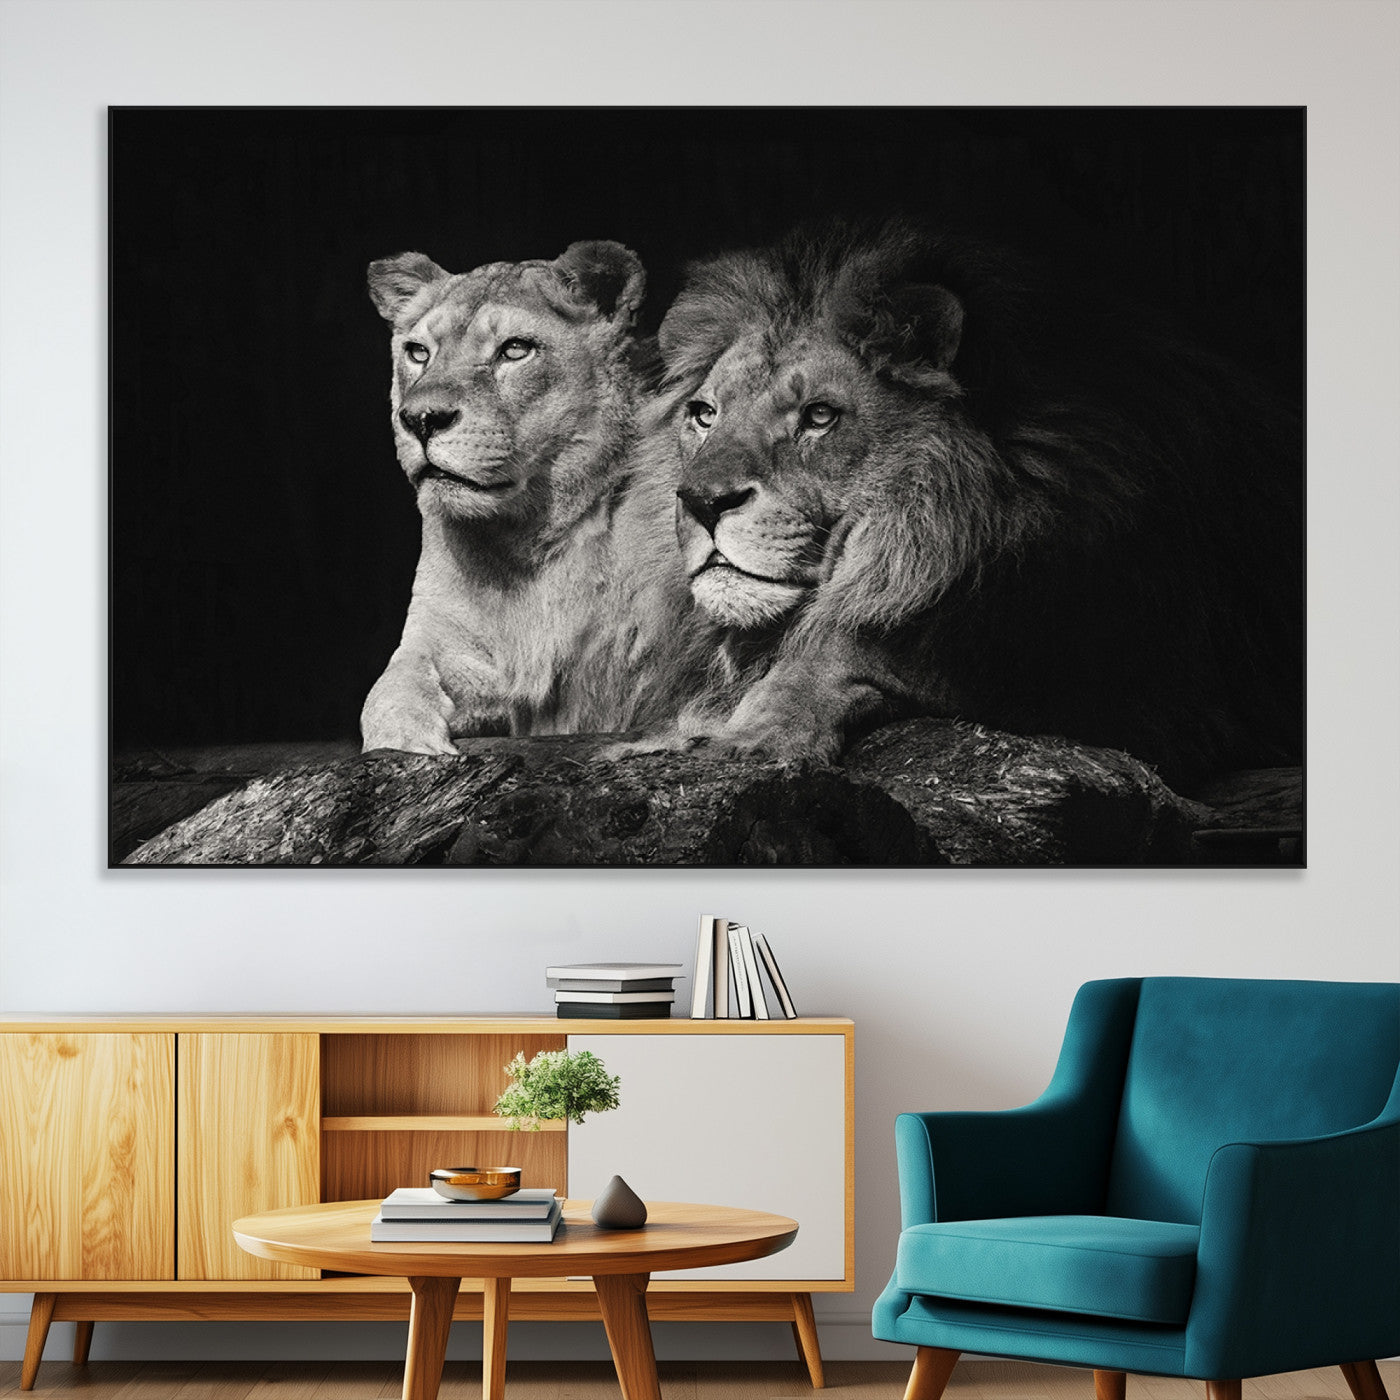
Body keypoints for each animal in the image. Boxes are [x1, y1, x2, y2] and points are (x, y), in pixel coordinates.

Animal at [361, 240, 708, 754]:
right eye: (418, 353)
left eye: (515, 350)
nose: (421, 419)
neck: (528, 539)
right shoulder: (440, 637)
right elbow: (388, 688)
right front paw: (408, 742)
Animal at [650, 223, 1302, 785]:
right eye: (704, 414)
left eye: (819, 416)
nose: (702, 501)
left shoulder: (1144, 690)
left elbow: (852, 639)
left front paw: (750, 732)